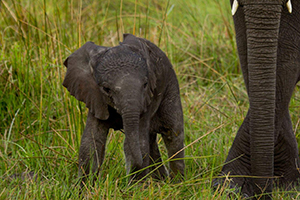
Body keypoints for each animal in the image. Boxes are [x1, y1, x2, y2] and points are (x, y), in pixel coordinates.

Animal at [63, 33, 184, 185]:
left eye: (145, 84)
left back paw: (177, 183)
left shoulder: (146, 100)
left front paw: (135, 187)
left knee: (173, 133)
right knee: (152, 139)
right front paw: (83, 187)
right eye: (106, 89)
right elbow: (91, 141)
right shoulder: (95, 97)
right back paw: (161, 180)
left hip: (171, 85)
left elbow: (137, 142)